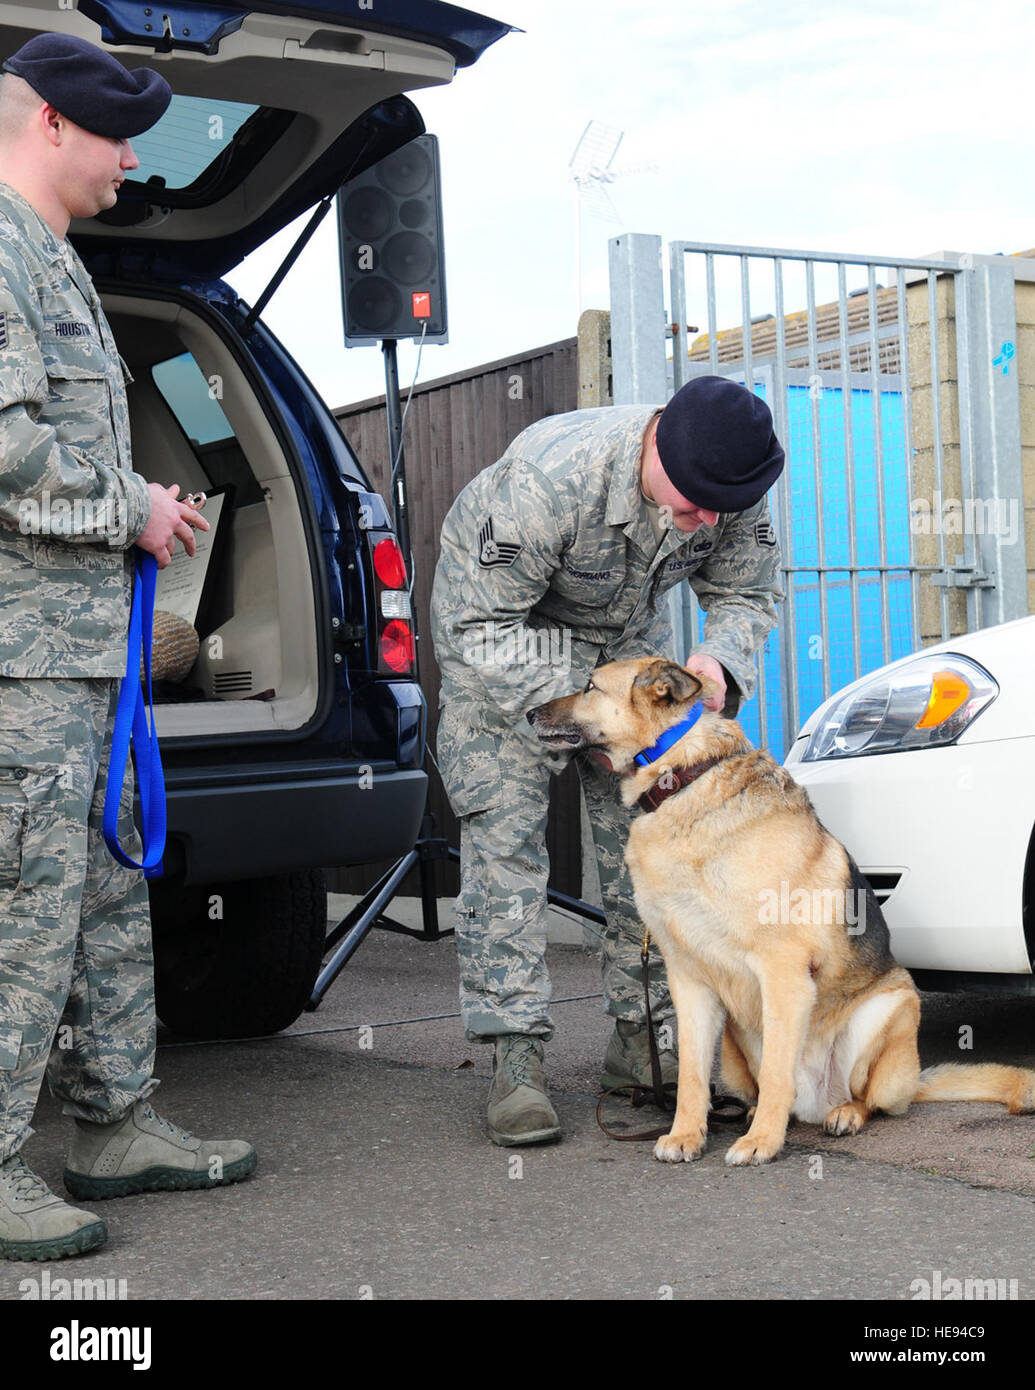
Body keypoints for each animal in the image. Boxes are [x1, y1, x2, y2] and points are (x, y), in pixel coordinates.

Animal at [527, 658, 1028, 1162]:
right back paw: (751, 1113)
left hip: (890, 1010)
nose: (529, 713)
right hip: (733, 1042)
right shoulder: (688, 980)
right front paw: (687, 1133)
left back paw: (840, 1114)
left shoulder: (782, 971)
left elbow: (775, 1073)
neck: (685, 778)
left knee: (870, 1098)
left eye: (590, 687)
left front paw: (762, 1142)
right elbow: (691, 1075)